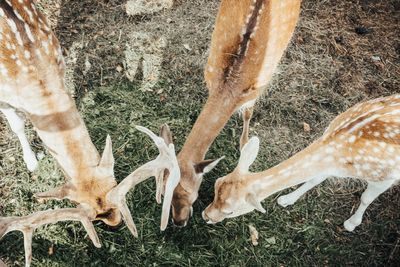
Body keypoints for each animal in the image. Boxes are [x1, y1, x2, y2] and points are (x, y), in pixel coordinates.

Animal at [0, 1, 179, 266]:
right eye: (92, 216)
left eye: (115, 183)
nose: (115, 223)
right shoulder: (4, 97)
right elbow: (17, 125)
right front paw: (31, 162)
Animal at [159, 0, 300, 228]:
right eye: (164, 192)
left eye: (193, 194)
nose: (179, 222)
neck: (231, 81)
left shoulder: (257, 89)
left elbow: (248, 113)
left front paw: (244, 144)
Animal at [203, 94, 400, 232]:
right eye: (216, 184)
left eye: (231, 211)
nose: (206, 216)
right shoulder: (330, 164)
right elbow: (315, 179)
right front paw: (286, 199)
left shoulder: (385, 177)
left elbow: (366, 198)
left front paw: (351, 224)